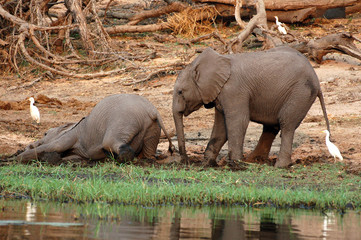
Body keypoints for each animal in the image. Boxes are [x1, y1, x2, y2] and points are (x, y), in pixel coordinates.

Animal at [17, 94, 174, 163]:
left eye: (45, 133)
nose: (29, 145)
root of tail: (152, 110)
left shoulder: (70, 135)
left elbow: (54, 146)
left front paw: (17, 158)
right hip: (153, 127)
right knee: (148, 152)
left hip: (124, 120)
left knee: (110, 142)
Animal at [173, 46, 330, 168]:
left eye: (180, 92)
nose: (185, 162)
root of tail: (317, 80)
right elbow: (221, 127)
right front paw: (207, 164)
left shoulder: (234, 90)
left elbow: (238, 121)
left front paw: (235, 164)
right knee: (272, 127)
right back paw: (254, 161)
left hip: (300, 93)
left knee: (286, 124)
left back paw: (279, 166)